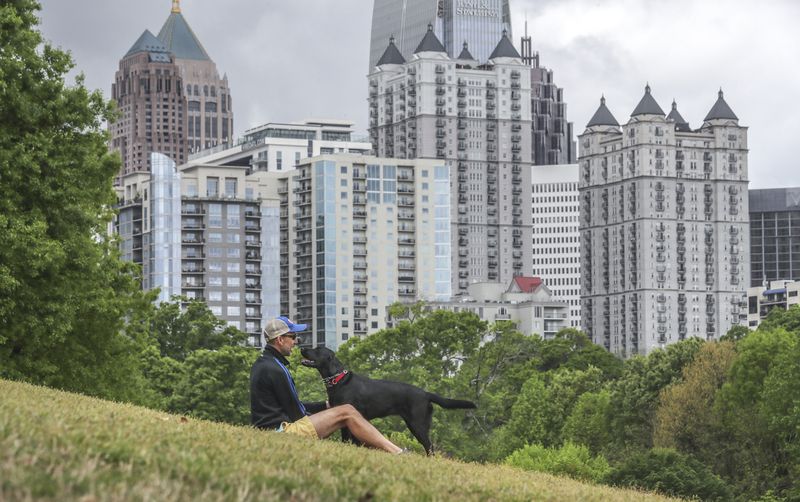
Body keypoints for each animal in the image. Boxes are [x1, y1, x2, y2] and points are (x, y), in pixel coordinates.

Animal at [300, 348, 476, 452]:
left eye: (317, 350)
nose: (302, 347)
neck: (338, 380)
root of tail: (426, 393)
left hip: (417, 425)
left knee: (429, 446)